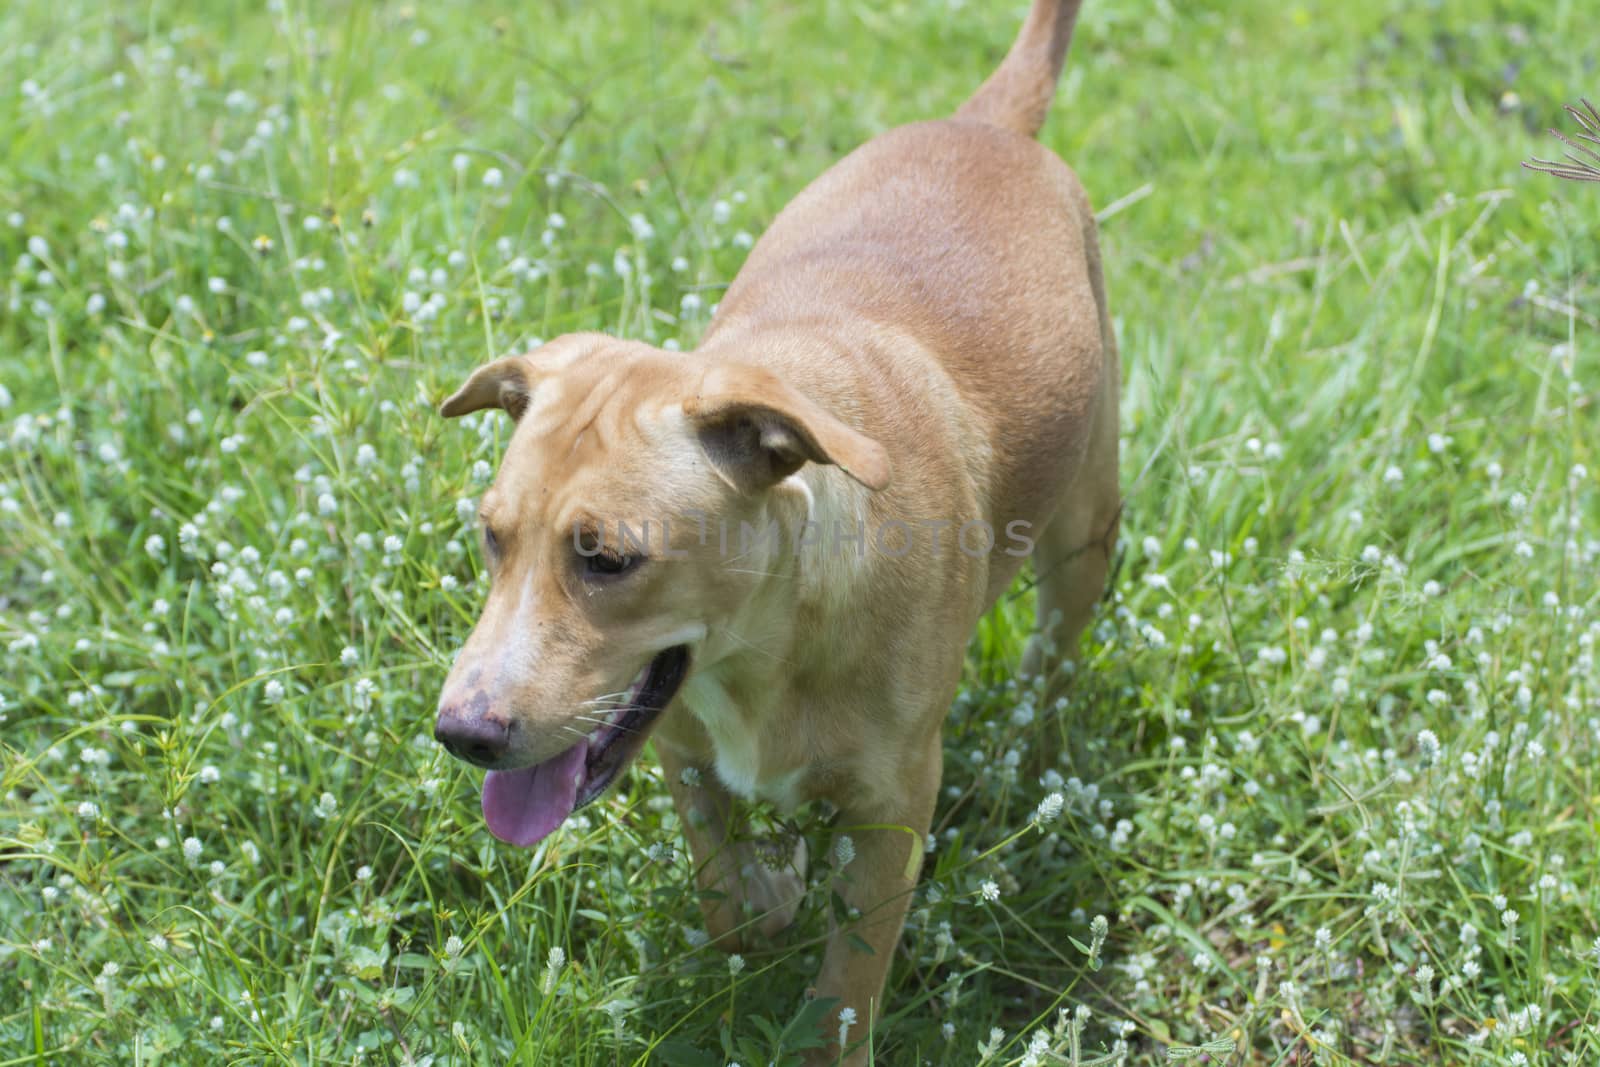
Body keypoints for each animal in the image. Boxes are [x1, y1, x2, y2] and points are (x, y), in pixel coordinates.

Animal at [432, 2, 1120, 1062]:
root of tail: (987, 125)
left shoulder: (893, 803)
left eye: (608, 558)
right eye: (491, 538)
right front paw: (766, 899)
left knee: (1054, 656)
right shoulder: (678, 747)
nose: (460, 734)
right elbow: (723, 889)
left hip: (1088, 526)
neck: (771, 640)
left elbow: (847, 983)